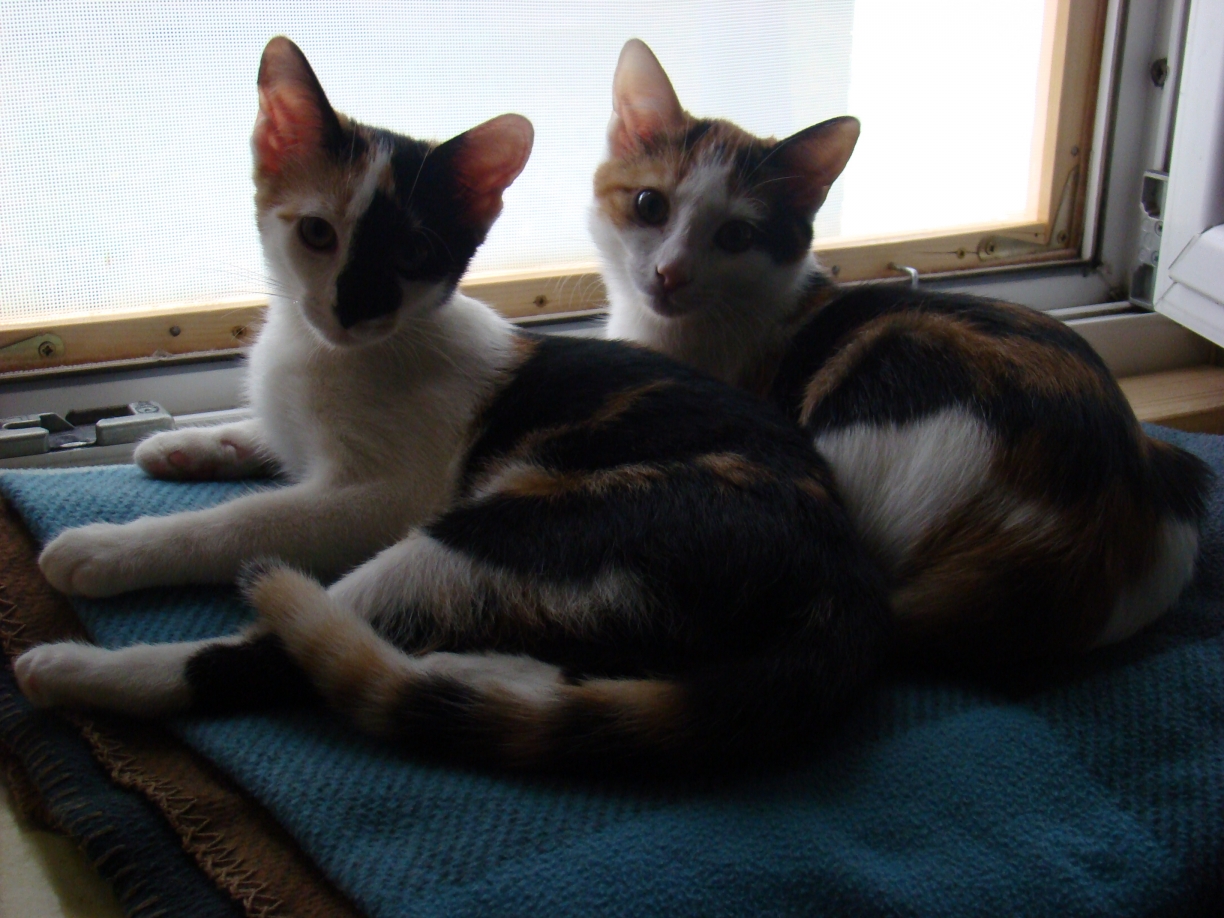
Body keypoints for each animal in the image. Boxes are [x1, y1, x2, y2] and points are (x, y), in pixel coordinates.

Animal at [14, 36, 889, 772]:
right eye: (316, 233)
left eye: (412, 254)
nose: (351, 309)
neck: (334, 353)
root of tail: (846, 589)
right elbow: (271, 436)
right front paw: (187, 445)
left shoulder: (386, 495)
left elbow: (246, 521)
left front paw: (113, 547)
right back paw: (487, 680)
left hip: (502, 528)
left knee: (285, 654)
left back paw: (78, 668)